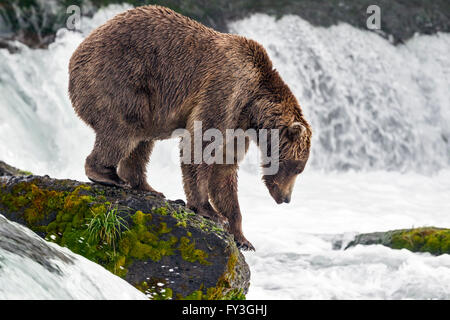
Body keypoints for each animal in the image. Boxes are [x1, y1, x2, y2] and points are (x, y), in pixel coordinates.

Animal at [68, 5, 312, 250]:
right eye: (297, 167)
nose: (286, 198)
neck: (253, 107)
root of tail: (77, 52)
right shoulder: (225, 92)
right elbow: (200, 144)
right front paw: (210, 211)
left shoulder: (237, 125)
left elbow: (224, 170)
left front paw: (241, 236)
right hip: (121, 76)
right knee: (124, 129)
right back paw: (108, 175)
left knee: (142, 140)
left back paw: (146, 186)